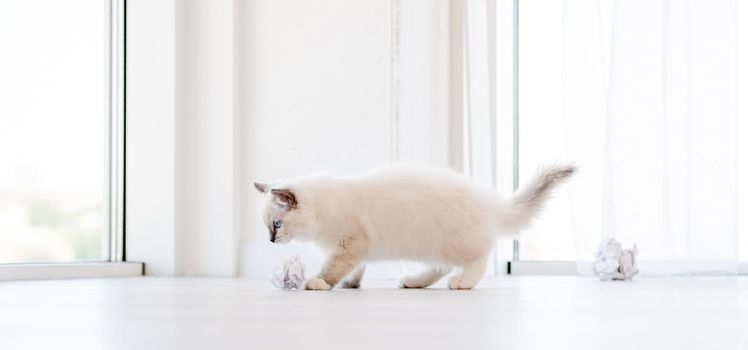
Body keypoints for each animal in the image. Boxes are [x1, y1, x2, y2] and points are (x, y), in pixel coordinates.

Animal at [254, 164, 576, 290]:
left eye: (277, 225)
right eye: (268, 227)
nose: (270, 242)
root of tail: (489, 200)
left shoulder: (349, 243)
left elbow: (333, 268)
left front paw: (319, 283)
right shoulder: (355, 249)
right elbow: (355, 269)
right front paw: (350, 284)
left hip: (454, 243)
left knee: (479, 258)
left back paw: (463, 282)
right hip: (435, 246)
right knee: (441, 267)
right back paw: (414, 281)